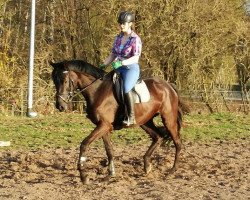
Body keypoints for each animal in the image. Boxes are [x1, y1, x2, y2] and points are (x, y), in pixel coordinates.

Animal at [49, 59, 183, 184]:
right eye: (54, 80)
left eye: (65, 81)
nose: (60, 106)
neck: (97, 90)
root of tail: (168, 86)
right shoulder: (104, 127)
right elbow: (109, 150)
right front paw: (111, 173)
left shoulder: (104, 125)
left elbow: (84, 144)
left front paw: (84, 176)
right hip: (145, 121)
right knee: (158, 137)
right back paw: (147, 166)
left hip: (168, 119)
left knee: (177, 142)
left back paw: (172, 171)